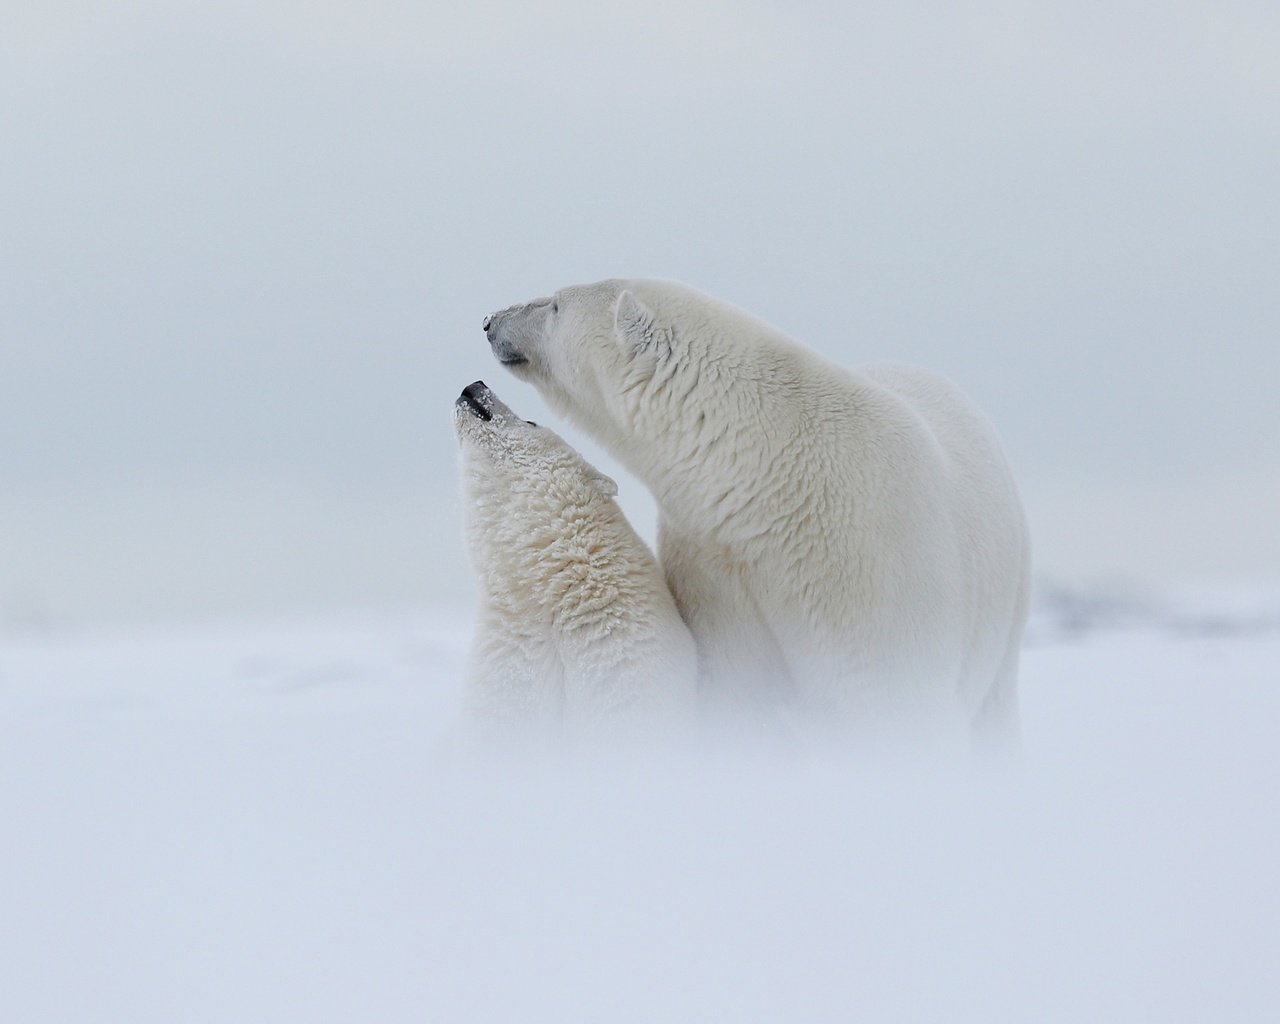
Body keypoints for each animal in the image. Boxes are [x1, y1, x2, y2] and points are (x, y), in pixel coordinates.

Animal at [481, 280, 1029, 742]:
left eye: (555, 304)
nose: (489, 320)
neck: (769, 482)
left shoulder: (871, 562)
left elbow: (891, 696)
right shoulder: (716, 566)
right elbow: (743, 693)